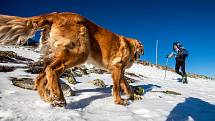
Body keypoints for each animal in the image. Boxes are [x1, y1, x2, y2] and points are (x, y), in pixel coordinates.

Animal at [0, 12, 144, 107]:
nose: (138, 56)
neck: (131, 46)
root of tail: (55, 15)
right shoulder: (117, 67)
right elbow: (117, 87)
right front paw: (120, 101)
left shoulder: (120, 70)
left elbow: (126, 85)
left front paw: (134, 96)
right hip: (80, 52)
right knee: (52, 70)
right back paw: (59, 98)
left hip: (55, 55)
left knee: (41, 77)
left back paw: (49, 99)